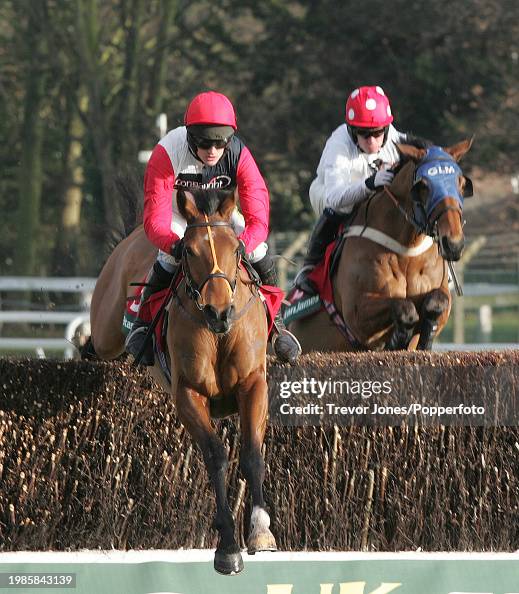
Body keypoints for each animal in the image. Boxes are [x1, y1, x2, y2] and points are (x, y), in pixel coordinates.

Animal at [88, 186, 276, 572]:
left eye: (236, 250)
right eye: (189, 251)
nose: (219, 312)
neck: (218, 333)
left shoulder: (253, 385)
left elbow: (251, 452)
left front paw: (261, 530)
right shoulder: (188, 393)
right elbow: (216, 455)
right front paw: (227, 547)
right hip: (106, 329)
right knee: (97, 340)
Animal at [290, 139, 474, 352]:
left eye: (461, 184)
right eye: (423, 186)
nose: (453, 244)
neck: (407, 251)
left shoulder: (441, 297)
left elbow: (437, 303)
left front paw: (424, 339)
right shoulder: (357, 314)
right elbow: (404, 308)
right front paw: (396, 341)